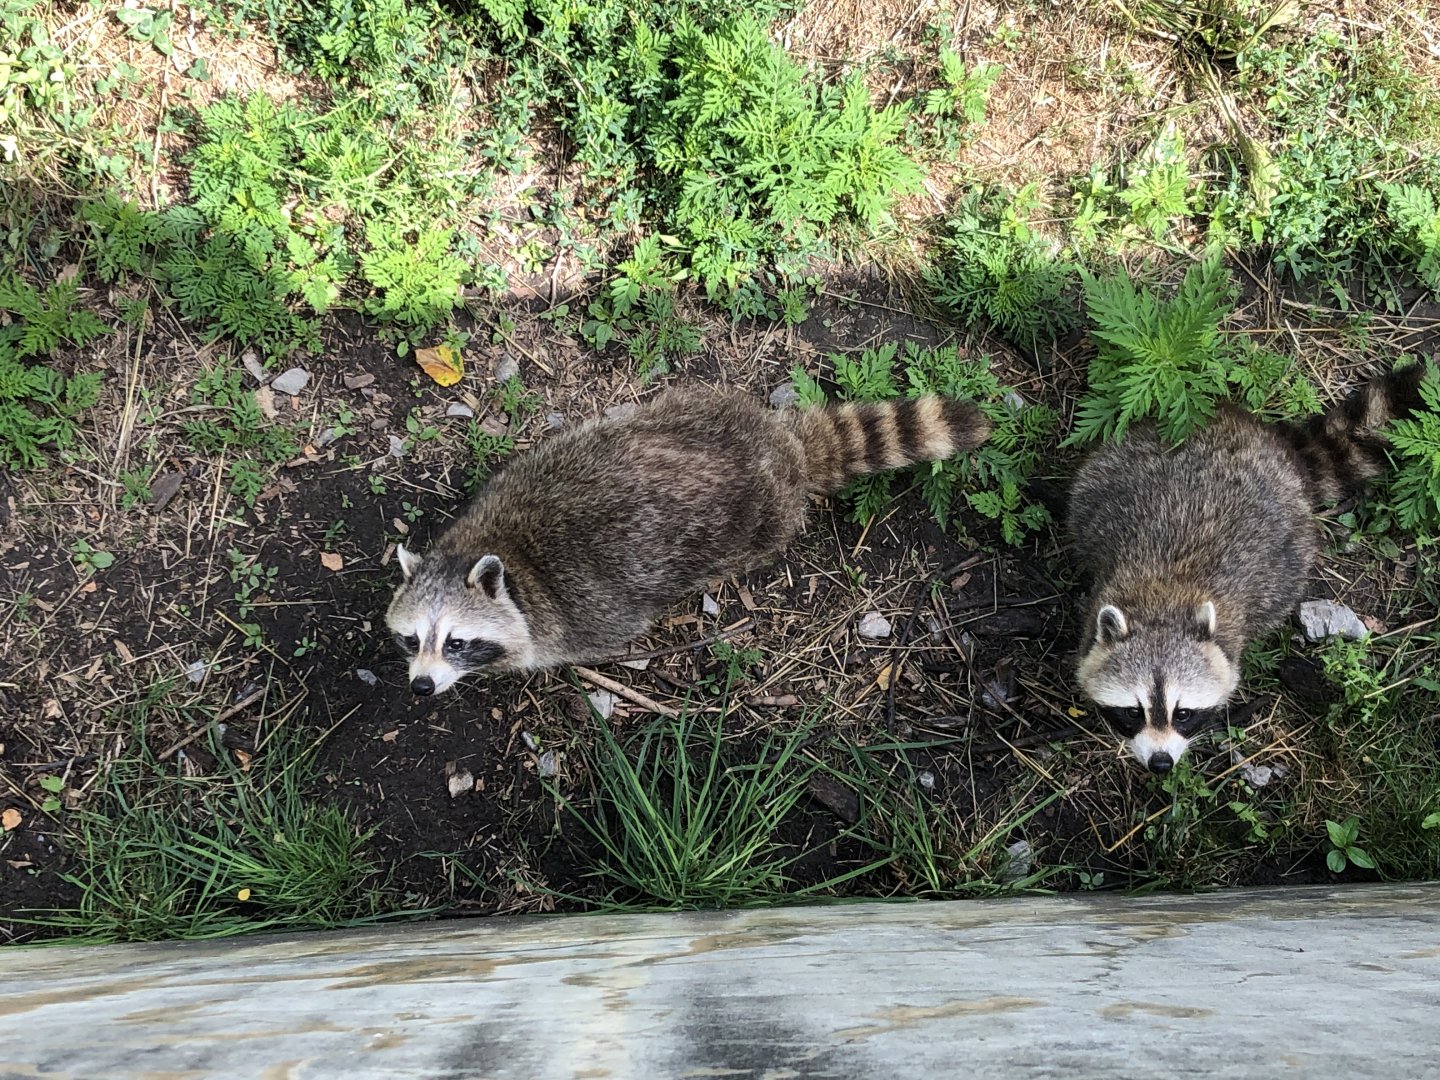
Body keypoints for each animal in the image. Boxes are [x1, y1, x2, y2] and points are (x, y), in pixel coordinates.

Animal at [387, 385, 991, 695]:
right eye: (412, 640)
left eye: (457, 643)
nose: (420, 687)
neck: (504, 557)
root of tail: (782, 444)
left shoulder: (580, 620)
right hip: (693, 407)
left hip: (757, 522)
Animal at [1069, 363, 1427, 773]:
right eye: (1132, 711)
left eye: (1183, 714)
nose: (1160, 763)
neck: (1166, 596)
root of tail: (1245, 424)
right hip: (1111, 464)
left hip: (1292, 542)